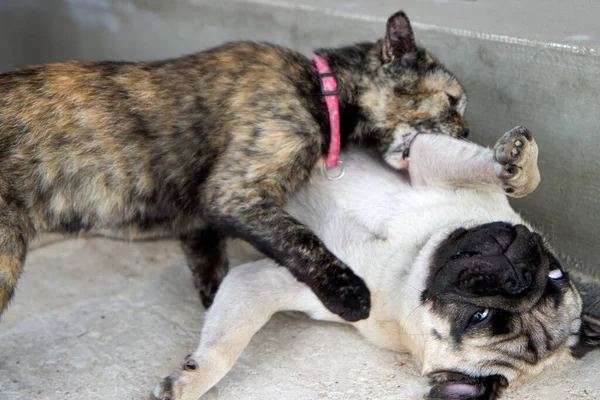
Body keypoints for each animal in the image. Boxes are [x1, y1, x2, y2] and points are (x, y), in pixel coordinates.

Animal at [0, 10, 468, 322]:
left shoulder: (198, 223)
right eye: (451, 100)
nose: (466, 136)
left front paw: (217, 305)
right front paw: (348, 293)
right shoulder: (236, 191)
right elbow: (301, 239)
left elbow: (213, 267)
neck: (321, 90)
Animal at [154, 128, 596, 400]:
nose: (518, 275)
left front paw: (192, 376)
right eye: (556, 272)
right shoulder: (427, 160)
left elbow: (226, 344)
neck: (407, 266)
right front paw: (517, 164)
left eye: (478, 317)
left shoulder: (289, 283)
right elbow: (511, 175)